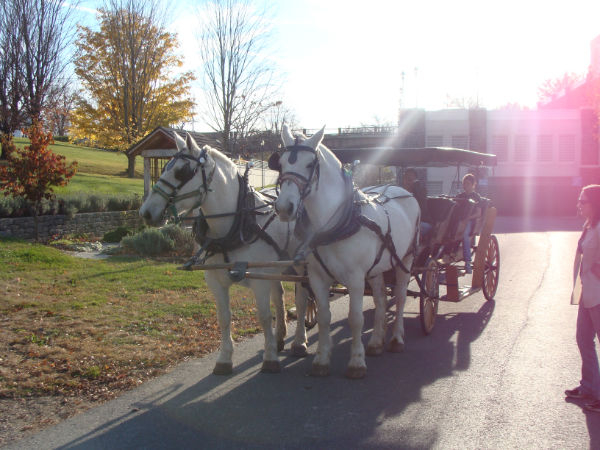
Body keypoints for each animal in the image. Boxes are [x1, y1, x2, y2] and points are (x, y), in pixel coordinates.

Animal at [139, 132, 310, 374]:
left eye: (182, 171)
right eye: (164, 168)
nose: (145, 212)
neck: (236, 224)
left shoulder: (259, 280)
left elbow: (264, 316)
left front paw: (269, 358)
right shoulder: (215, 280)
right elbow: (224, 317)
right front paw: (224, 358)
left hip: (300, 265)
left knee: (303, 299)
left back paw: (299, 341)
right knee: (279, 295)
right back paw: (279, 338)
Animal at [274, 125, 420, 378]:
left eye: (310, 164)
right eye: (281, 163)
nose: (284, 208)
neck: (335, 225)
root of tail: (401, 190)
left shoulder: (355, 278)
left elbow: (355, 318)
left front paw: (356, 362)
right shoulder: (317, 277)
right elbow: (324, 317)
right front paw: (322, 360)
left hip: (406, 259)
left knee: (400, 297)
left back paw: (396, 339)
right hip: (376, 269)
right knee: (381, 299)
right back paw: (376, 342)